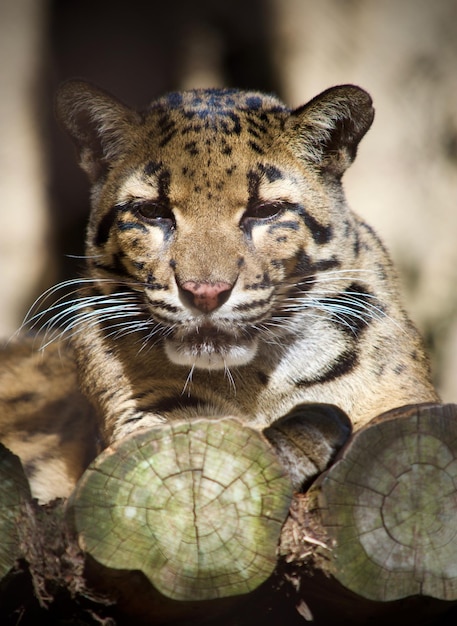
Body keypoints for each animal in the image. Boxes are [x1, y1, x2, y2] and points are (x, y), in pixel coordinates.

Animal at [0, 81, 436, 502]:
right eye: (152, 212)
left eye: (266, 211)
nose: (205, 293)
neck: (254, 382)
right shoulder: (140, 423)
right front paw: (303, 434)